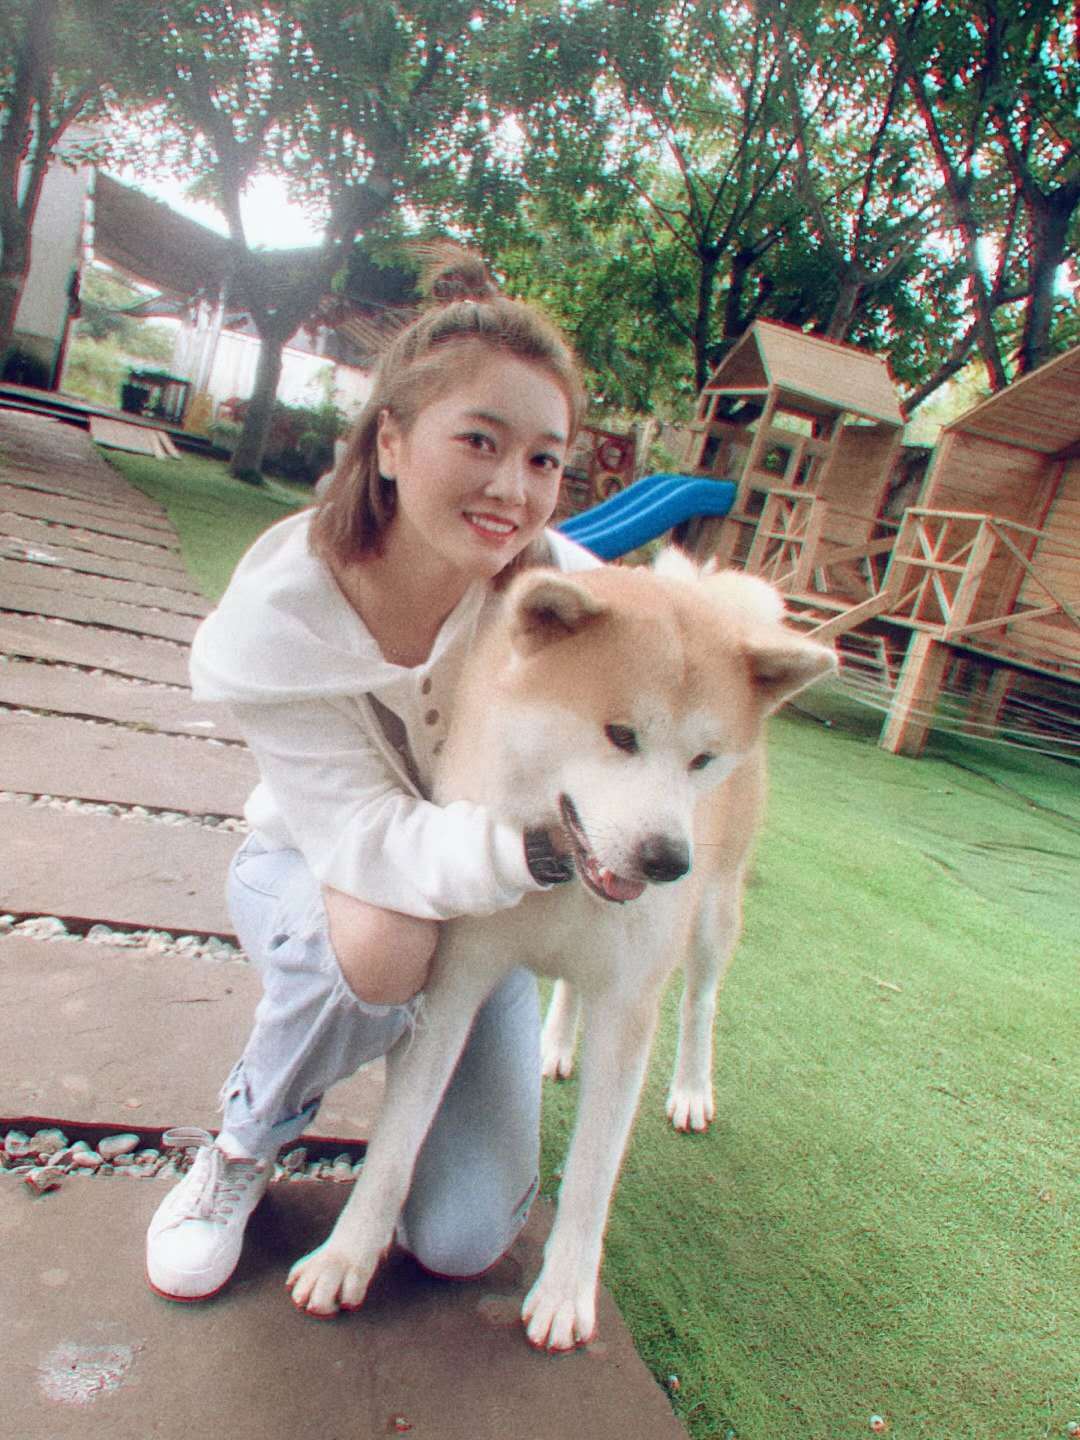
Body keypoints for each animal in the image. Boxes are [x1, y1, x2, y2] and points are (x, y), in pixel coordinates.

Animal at [286, 550, 836, 1351]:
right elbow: (394, 1143)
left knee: (700, 1002)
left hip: (712, 916)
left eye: (702, 759)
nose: (668, 860)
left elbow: (593, 1172)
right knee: (575, 982)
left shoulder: (629, 1007)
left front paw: (567, 1291)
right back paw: (555, 1045)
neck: (565, 879)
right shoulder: (452, 984)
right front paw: (347, 1255)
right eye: (620, 735)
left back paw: (691, 1088)